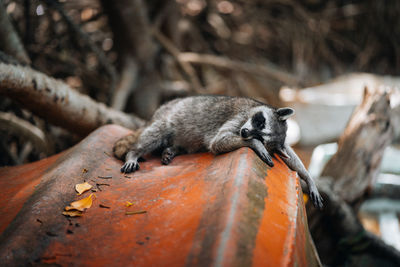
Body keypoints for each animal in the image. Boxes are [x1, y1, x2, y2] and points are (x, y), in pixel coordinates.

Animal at [114, 96, 324, 209]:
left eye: (263, 133)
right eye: (260, 122)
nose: (245, 133)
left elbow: (289, 153)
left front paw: (307, 177)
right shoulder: (240, 117)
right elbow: (218, 141)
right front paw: (255, 144)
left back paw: (172, 150)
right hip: (167, 117)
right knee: (155, 133)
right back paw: (134, 152)